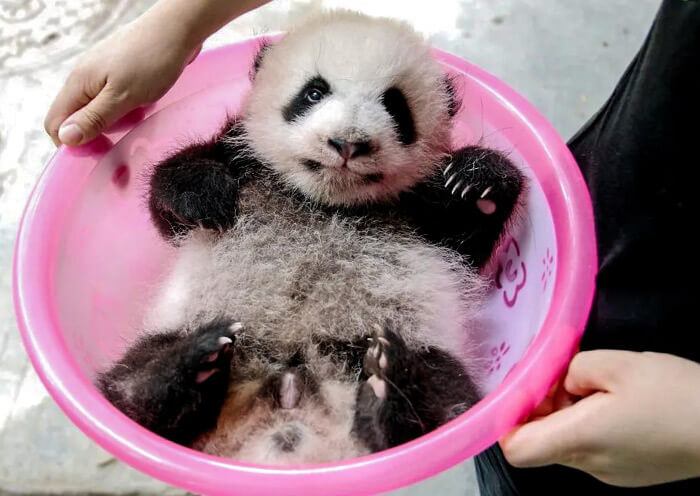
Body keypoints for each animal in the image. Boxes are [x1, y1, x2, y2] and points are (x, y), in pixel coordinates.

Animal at [97, 10, 525, 465]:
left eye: (395, 105)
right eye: (314, 92)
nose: (348, 143)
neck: (325, 202)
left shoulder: (421, 211)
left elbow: (465, 247)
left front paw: (476, 180)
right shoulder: (243, 158)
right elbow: (172, 208)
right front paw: (204, 194)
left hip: (417, 347)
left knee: (450, 397)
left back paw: (390, 384)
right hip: (183, 327)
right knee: (129, 386)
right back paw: (191, 363)